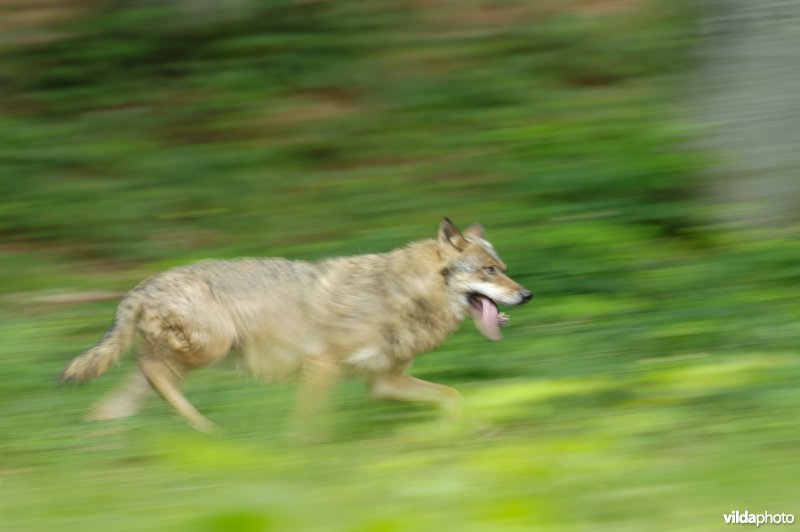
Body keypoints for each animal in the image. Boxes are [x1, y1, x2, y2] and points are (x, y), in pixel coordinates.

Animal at [61, 218, 531, 433]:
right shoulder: (321, 367)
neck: (398, 292)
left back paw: (107, 431)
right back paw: (204, 427)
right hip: (211, 348)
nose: (526, 295)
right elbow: (310, 420)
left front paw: (475, 429)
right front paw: (305, 453)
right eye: (489, 271)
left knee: (137, 382)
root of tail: (142, 285)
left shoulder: (383, 382)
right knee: (151, 371)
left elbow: (453, 395)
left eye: (504, 269)